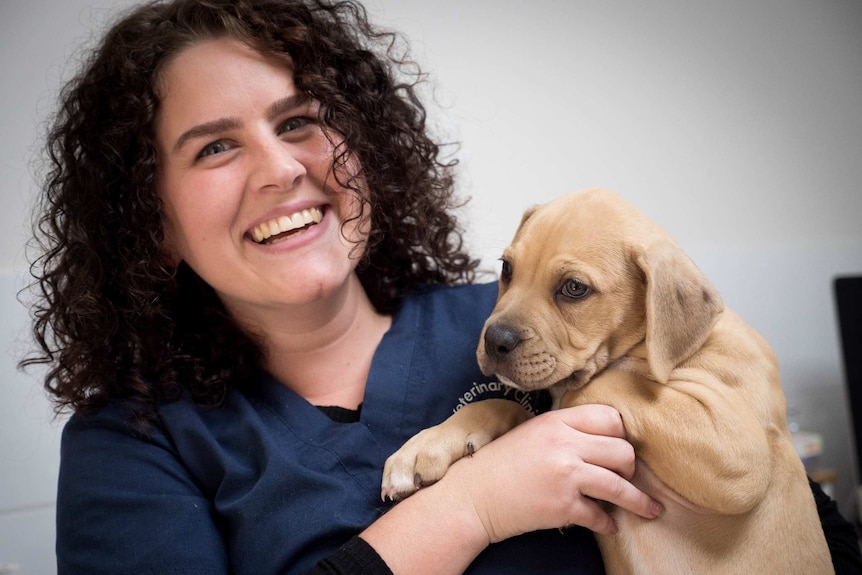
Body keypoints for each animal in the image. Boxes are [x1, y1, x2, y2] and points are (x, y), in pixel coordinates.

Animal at [384, 190, 832, 575]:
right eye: (507, 269)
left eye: (574, 288)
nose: (494, 341)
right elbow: (505, 404)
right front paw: (426, 446)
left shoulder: (738, 455)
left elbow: (588, 390)